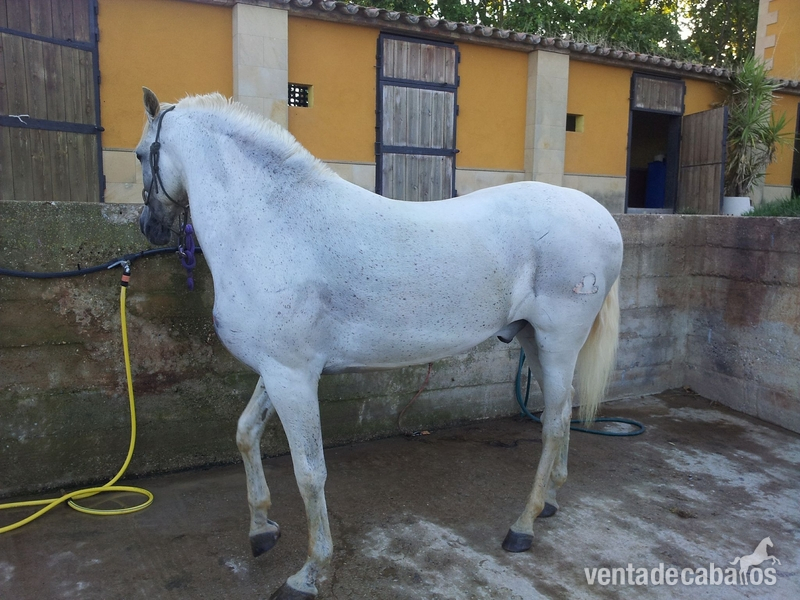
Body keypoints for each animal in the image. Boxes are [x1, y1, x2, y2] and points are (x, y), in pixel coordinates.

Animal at [135, 88, 623, 599]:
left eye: (140, 155)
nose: (149, 226)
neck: (273, 224)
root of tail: (602, 218)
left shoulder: (292, 377)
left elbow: (309, 473)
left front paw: (310, 572)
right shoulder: (278, 370)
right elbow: (246, 433)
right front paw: (261, 529)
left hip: (558, 341)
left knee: (553, 425)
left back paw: (522, 526)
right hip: (534, 341)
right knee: (560, 413)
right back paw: (549, 501)